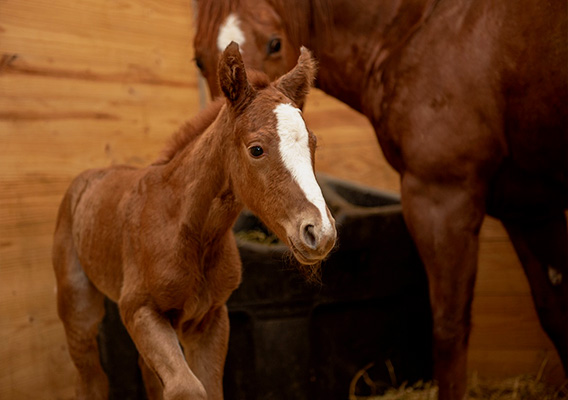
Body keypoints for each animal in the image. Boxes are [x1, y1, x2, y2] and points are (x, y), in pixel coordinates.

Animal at [52, 42, 338, 398]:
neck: (186, 230)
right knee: (91, 377)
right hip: (79, 309)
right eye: (256, 149)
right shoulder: (138, 310)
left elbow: (206, 388)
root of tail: (86, 179)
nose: (320, 232)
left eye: (313, 143)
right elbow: (187, 388)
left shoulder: (209, 318)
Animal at [193, 1, 564, 398]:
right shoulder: (530, 208)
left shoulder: (441, 199)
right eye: (198, 59)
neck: (420, 29)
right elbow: (555, 313)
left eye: (275, 43)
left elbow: (450, 330)